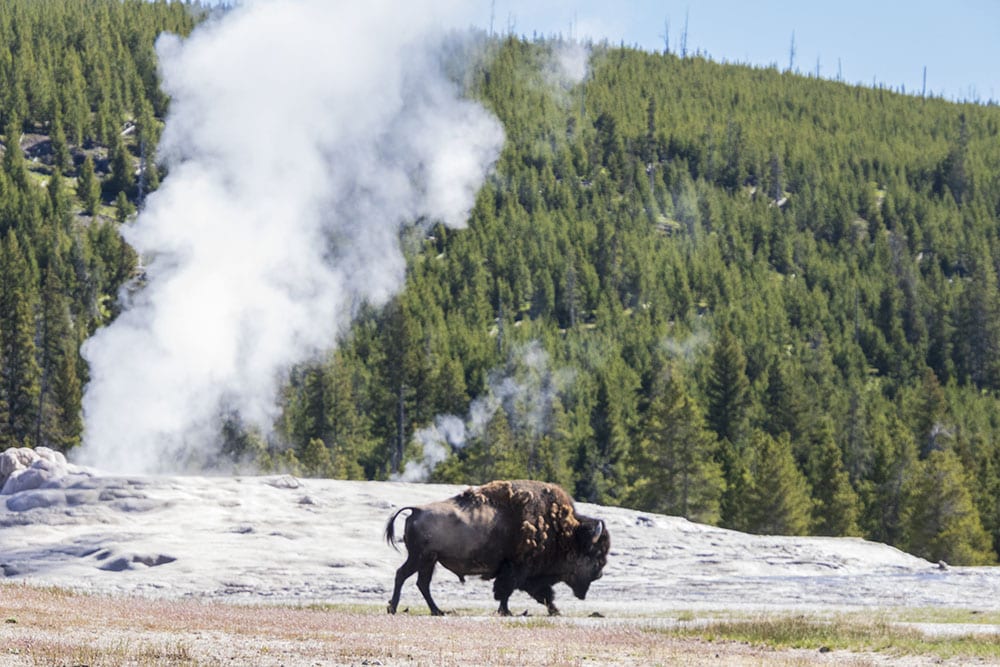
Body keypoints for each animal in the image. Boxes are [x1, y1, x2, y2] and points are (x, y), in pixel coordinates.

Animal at [382, 480, 604, 616]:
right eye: (595, 553)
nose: (599, 574)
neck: (563, 533)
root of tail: (417, 510)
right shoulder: (518, 570)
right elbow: (510, 591)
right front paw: (507, 611)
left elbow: (534, 594)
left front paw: (554, 611)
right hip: (421, 558)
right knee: (404, 576)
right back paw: (395, 608)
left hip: (429, 561)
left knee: (421, 583)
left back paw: (436, 611)